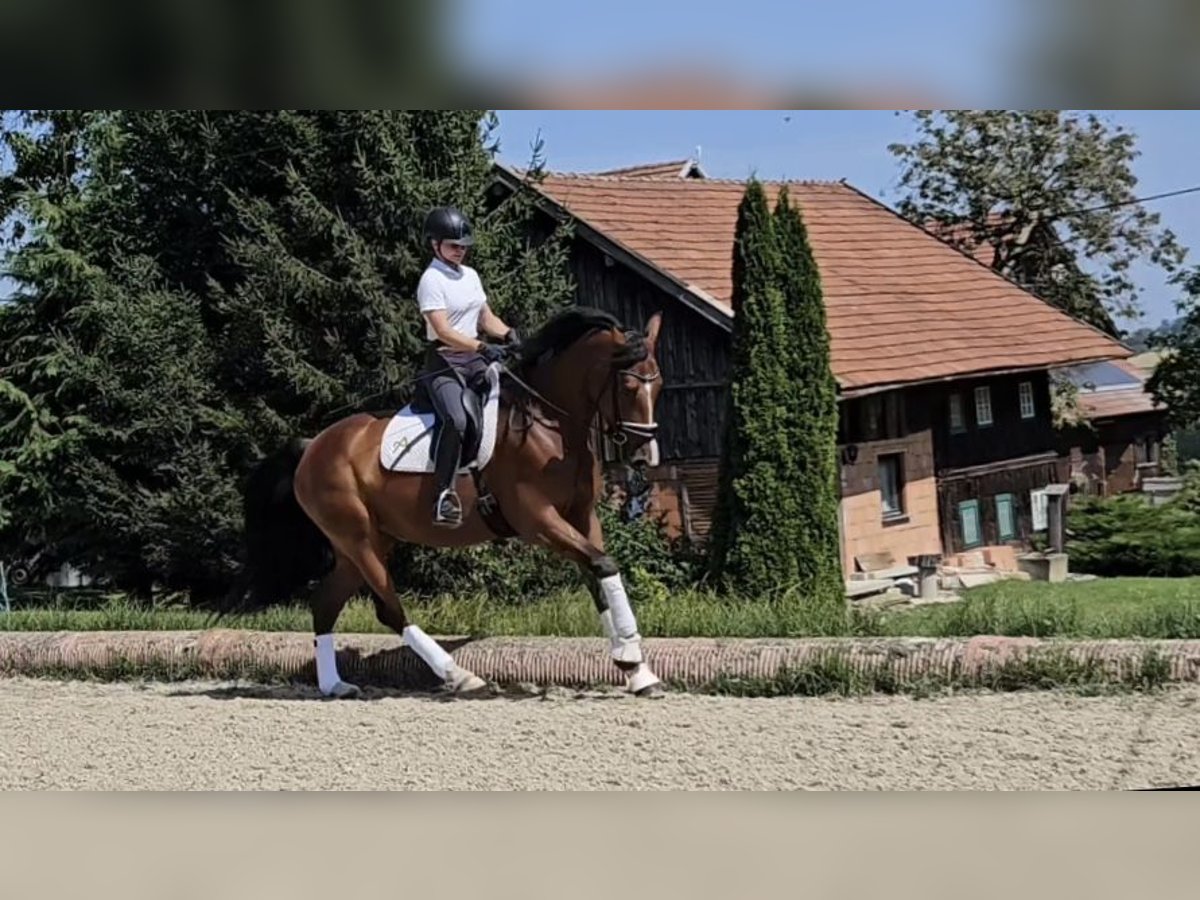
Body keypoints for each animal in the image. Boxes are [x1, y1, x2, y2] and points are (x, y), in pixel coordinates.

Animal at [230, 307, 667, 700]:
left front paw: (636, 670)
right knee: (389, 610)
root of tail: (312, 447)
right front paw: (631, 653)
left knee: (325, 604)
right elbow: (603, 565)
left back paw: (334, 686)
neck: (551, 426)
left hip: (360, 545)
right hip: (359, 539)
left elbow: (599, 574)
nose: (644, 456)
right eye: (629, 387)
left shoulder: (580, 516)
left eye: (659, 385)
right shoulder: (537, 521)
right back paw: (459, 675)